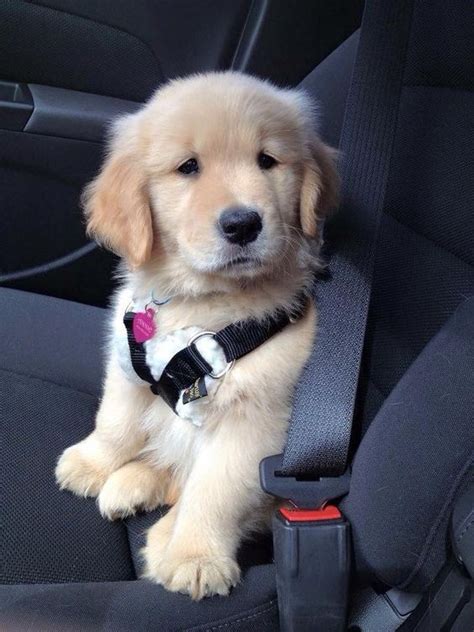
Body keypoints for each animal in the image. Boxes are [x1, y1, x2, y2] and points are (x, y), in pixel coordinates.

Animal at [54, 71, 336, 600]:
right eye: (188, 167)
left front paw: (194, 557)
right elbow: (115, 421)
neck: (201, 302)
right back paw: (130, 484)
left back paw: (164, 533)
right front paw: (90, 462)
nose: (243, 223)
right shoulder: (128, 363)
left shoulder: (254, 424)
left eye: (267, 160)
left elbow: (214, 491)